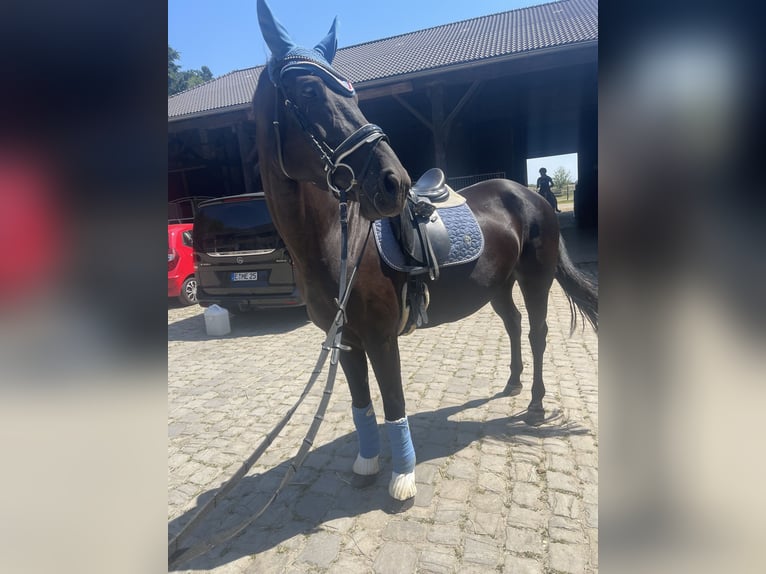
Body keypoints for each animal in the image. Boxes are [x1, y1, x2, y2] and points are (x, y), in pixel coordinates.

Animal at [253, 0, 598, 502]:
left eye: (354, 95)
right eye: (310, 90)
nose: (393, 181)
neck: (337, 244)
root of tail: (529, 195)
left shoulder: (381, 338)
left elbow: (393, 401)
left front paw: (403, 479)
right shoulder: (347, 341)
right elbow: (361, 404)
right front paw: (367, 464)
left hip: (536, 279)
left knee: (537, 332)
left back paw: (534, 403)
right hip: (499, 285)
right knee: (514, 325)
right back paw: (512, 384)